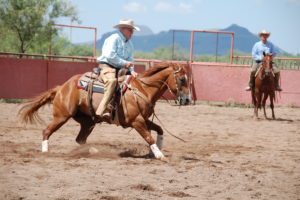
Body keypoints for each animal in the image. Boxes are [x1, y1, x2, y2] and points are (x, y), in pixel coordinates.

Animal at [18, 62, 190, 159]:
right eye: (182, 79)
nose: (187, 100)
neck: (143, 89)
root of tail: (62, 87)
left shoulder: (143, 119)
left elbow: (159, 129)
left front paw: (158, 149)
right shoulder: (137, 121)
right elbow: (148, 137)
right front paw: (160, 155)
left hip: (88, 122)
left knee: (80, 139)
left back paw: (92, 151)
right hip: (61, 116)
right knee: (46, 131)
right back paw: (45, 152)